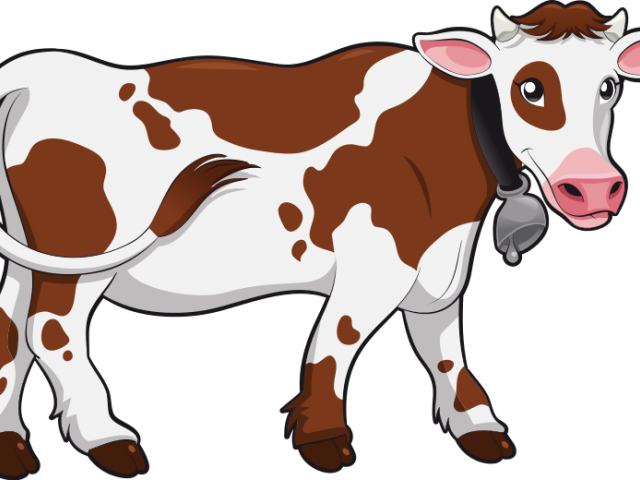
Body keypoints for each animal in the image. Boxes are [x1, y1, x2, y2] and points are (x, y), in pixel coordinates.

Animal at [0, 1, 635, 476]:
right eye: (530, 86)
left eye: (608, 86)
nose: (593, 188)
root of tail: (37, 70)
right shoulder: (378, 262)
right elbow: (340, 338)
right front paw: (324, 439)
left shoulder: (438, 266)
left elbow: (445, 351)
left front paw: (478, 427)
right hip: (81, 249)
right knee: (51, 330)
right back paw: (106, 439)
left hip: (27, 255)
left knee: (11, 332)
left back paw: (12, 449)